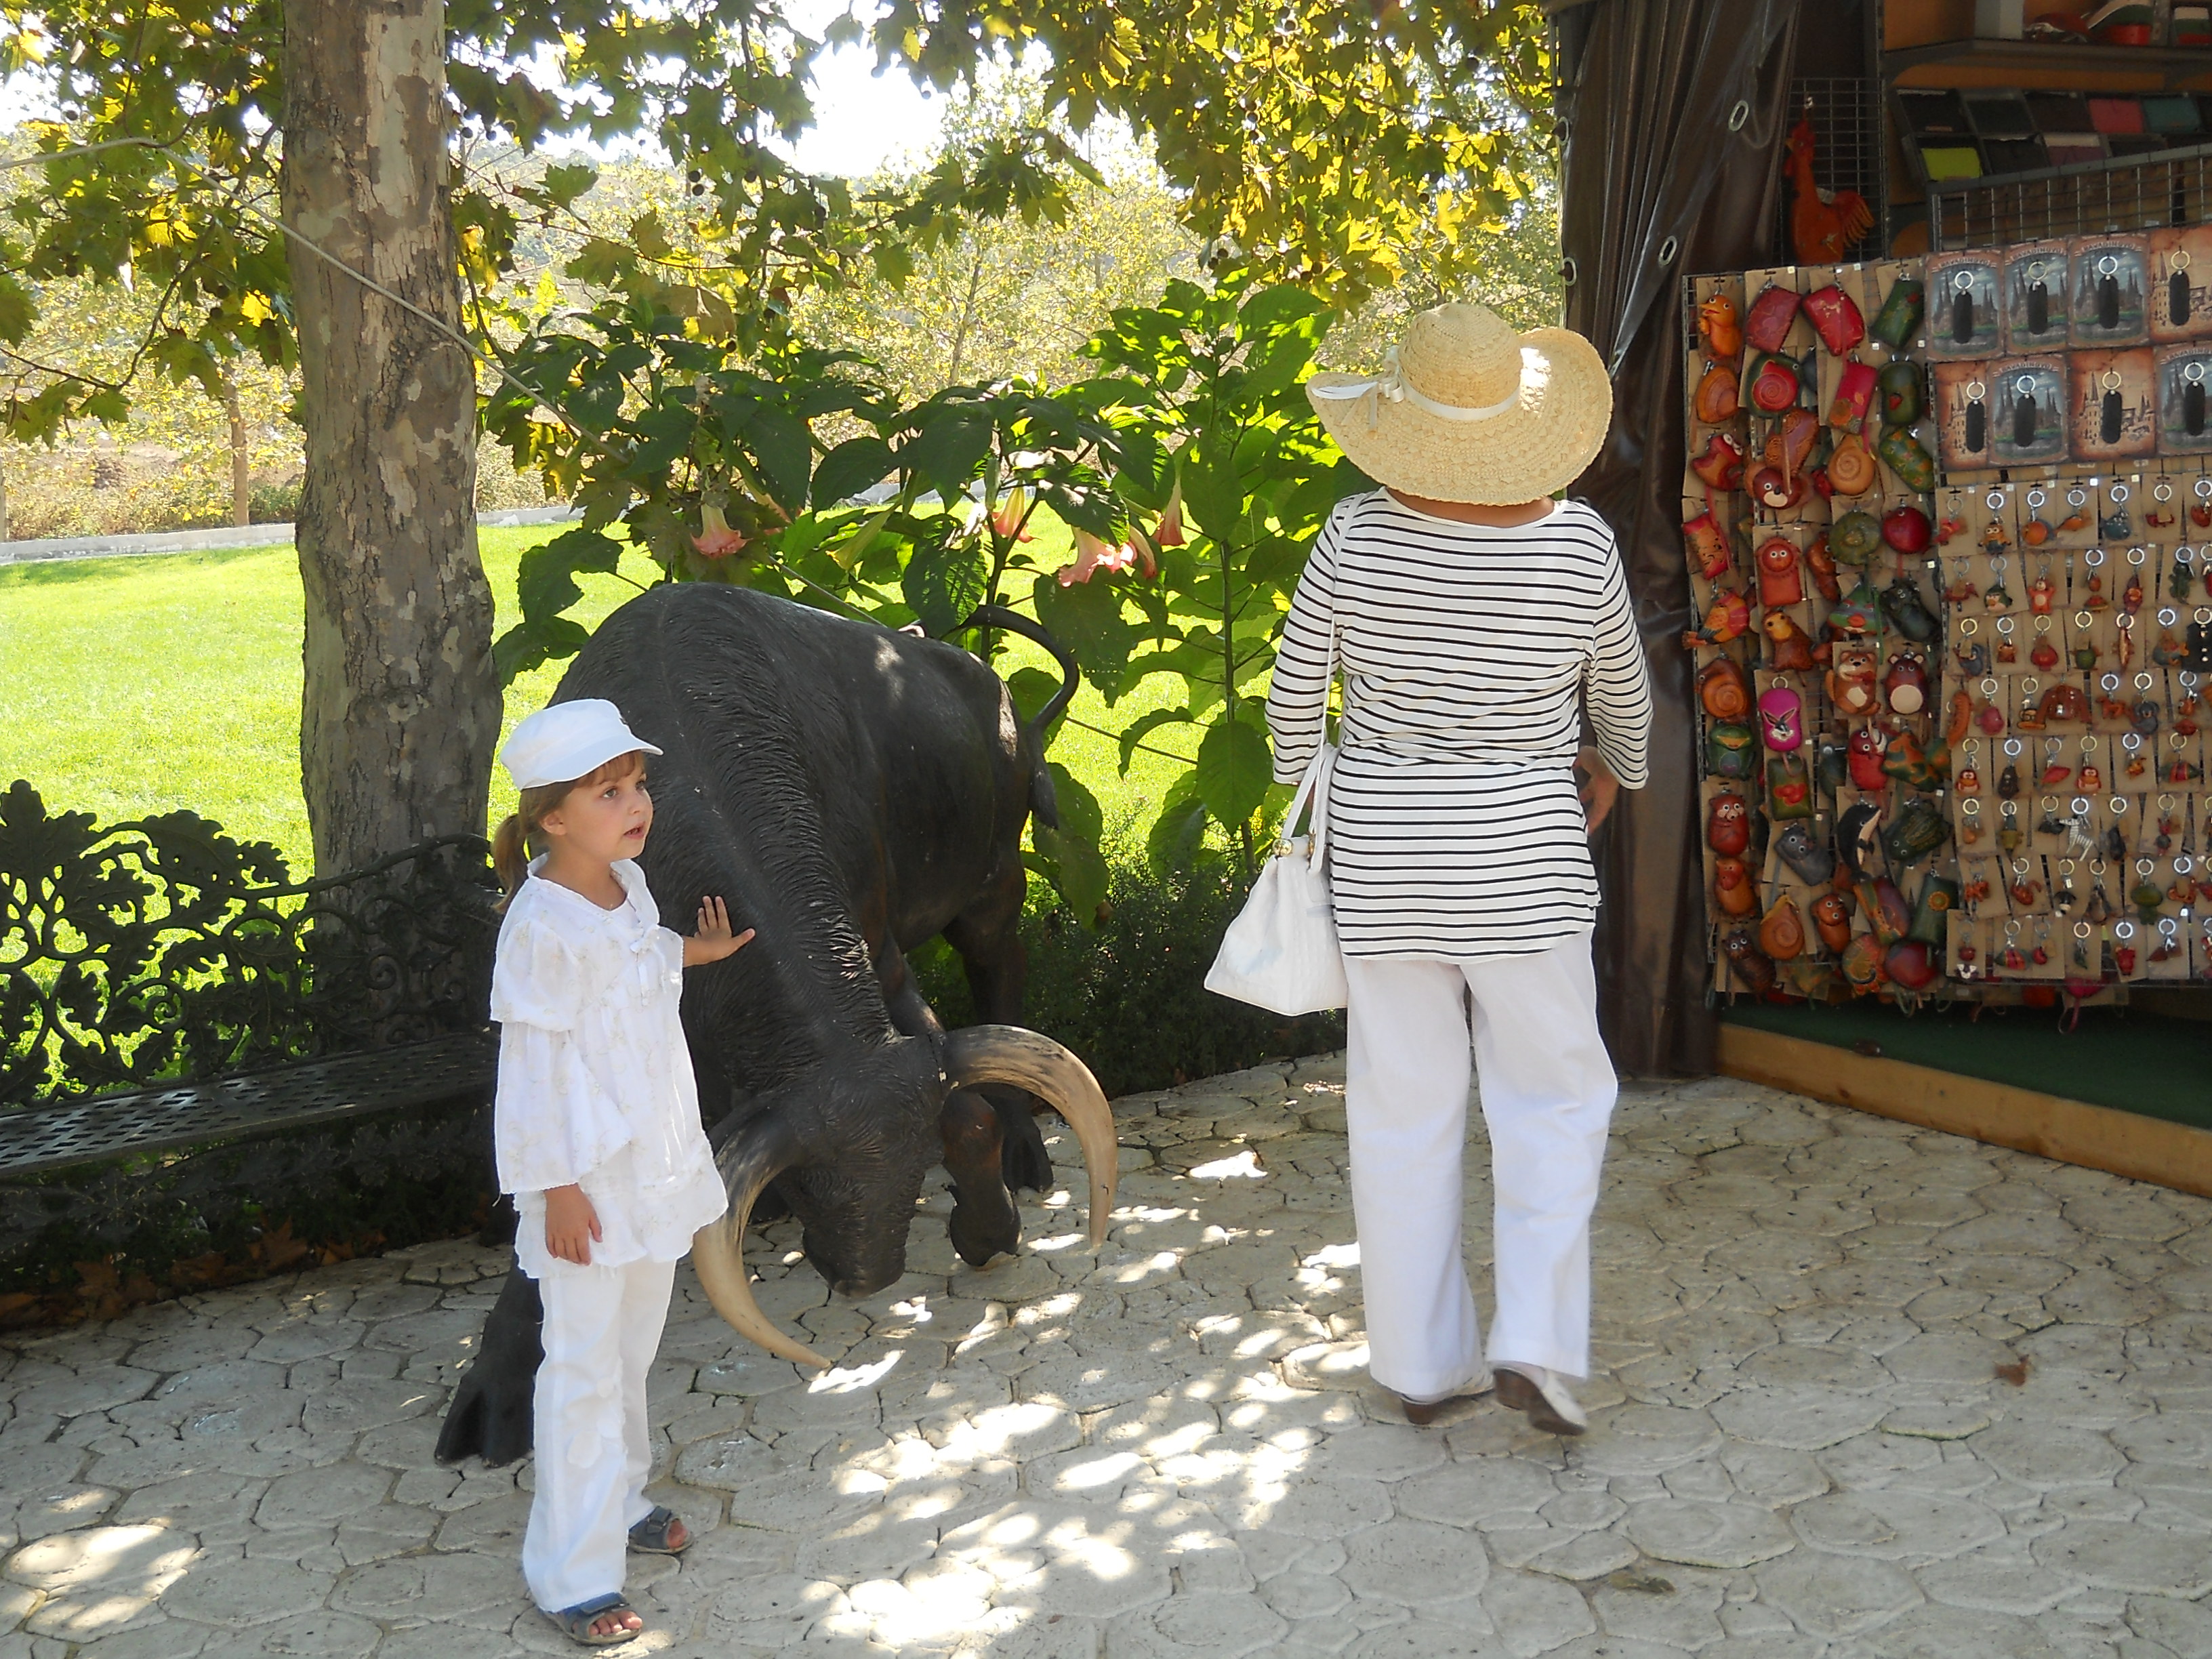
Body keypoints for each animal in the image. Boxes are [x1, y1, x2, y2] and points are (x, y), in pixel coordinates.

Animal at [435, 582, 1119, 1466]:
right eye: (804, 1179)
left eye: (905, 1170)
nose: (866, 1275)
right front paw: (497, 1388)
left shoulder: (880, 956)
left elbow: (963, 1109)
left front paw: (990, 1219)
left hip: (994, 884)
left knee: (1000, 978)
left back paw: (1028, 1147)